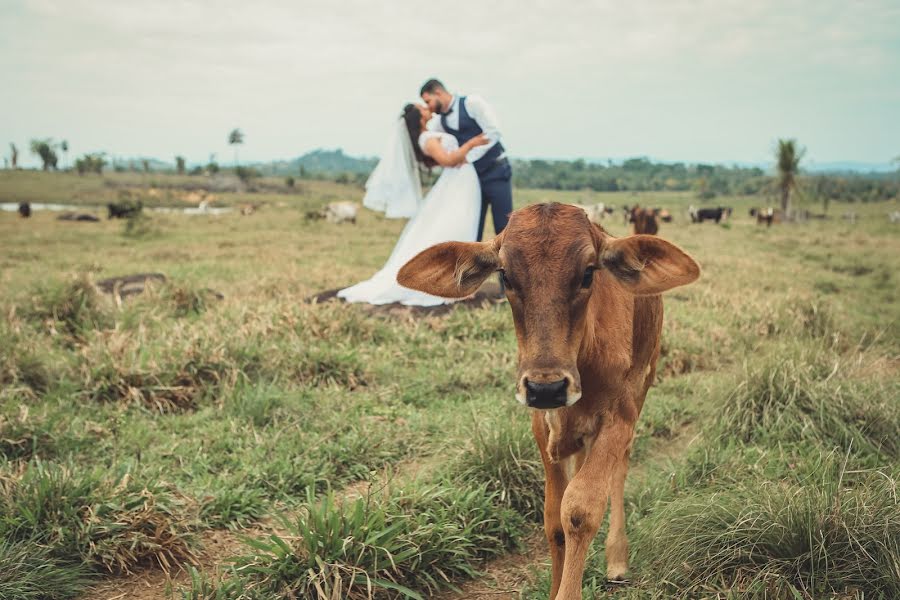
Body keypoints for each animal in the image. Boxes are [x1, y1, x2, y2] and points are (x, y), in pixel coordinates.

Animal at [398, 204, 700, 596]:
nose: (547, 388)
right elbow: (554, 519)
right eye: (506, 276)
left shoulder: (620, 416)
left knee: (621, 467)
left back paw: (617, 556)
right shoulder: (542, 426)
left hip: (643, 384)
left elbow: (580, 510)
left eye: (588, 273)